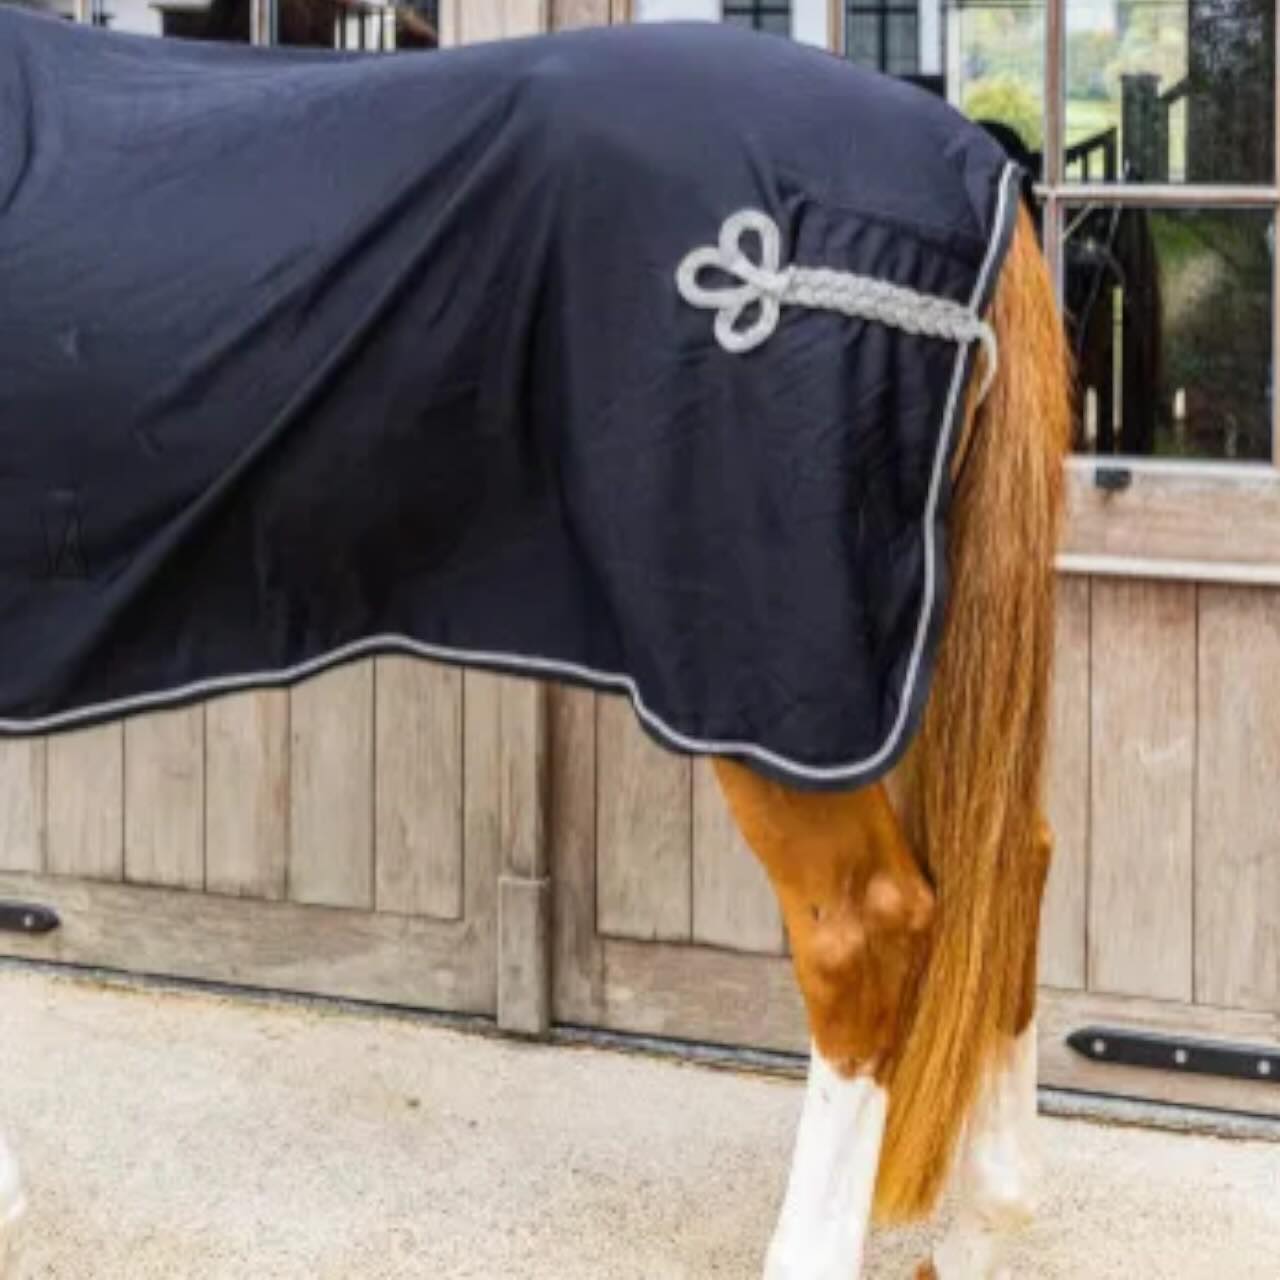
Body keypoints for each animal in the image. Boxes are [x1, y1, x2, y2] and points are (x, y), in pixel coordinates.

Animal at [0, 13, 1070, 1279]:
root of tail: (968, 159)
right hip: (905, 654)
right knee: (1012, 856)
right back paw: (995, 1203)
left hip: (775, 679)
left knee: (867, 928)